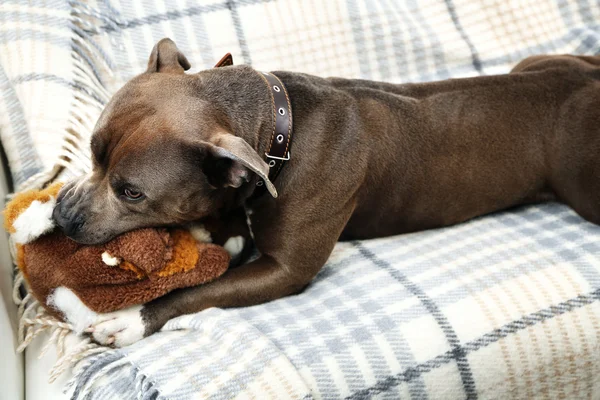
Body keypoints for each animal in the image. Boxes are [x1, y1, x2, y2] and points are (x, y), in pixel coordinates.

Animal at [51, 38, 600, 346]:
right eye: (92, 153)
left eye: (131, 192)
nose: (62, 216)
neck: (280, 132)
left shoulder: (284, 271)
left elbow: (196, 289)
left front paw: (130, 318)